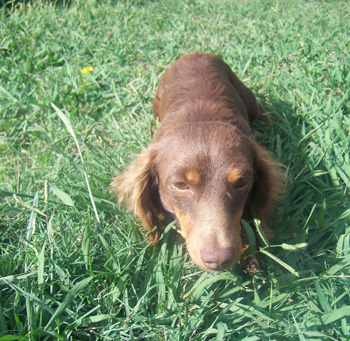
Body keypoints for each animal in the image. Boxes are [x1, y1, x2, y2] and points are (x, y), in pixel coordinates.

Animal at [112, 52, 284, 270]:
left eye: (242, 183)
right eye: (180, 185)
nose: (219, 260)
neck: (201, 119)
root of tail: (195, 53)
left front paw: (251, 255)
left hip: (248, 98)